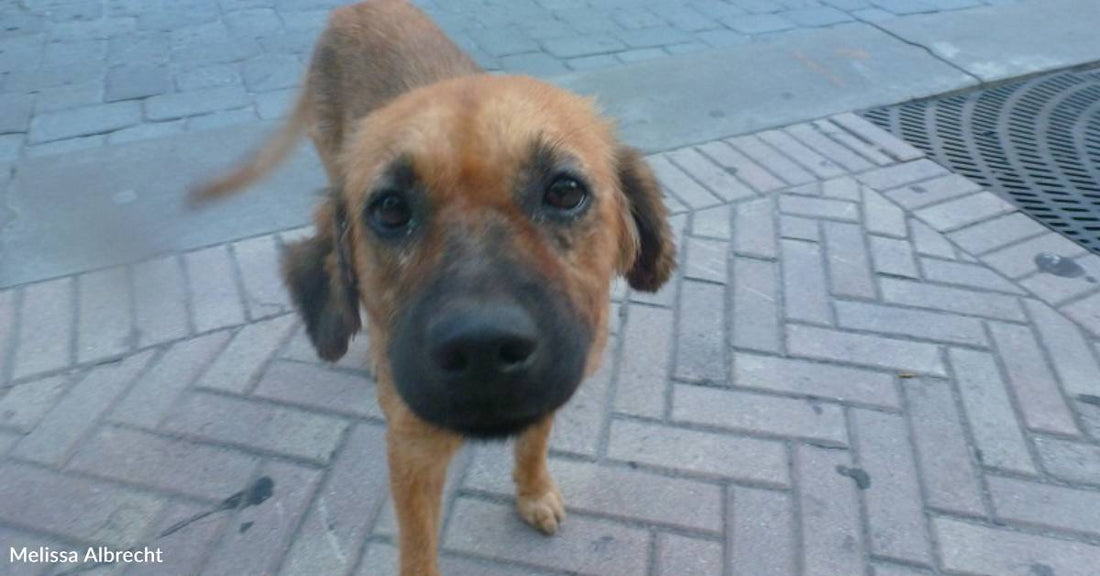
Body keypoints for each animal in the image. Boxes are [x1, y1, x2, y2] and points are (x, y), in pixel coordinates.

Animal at [193, 2, 673, 571]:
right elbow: (418, 550)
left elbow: (533, 442)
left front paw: (533, 492)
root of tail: (352, 8)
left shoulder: (556, 383)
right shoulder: (412, 448)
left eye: (564, 191)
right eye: (390, 209)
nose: (483, 348)